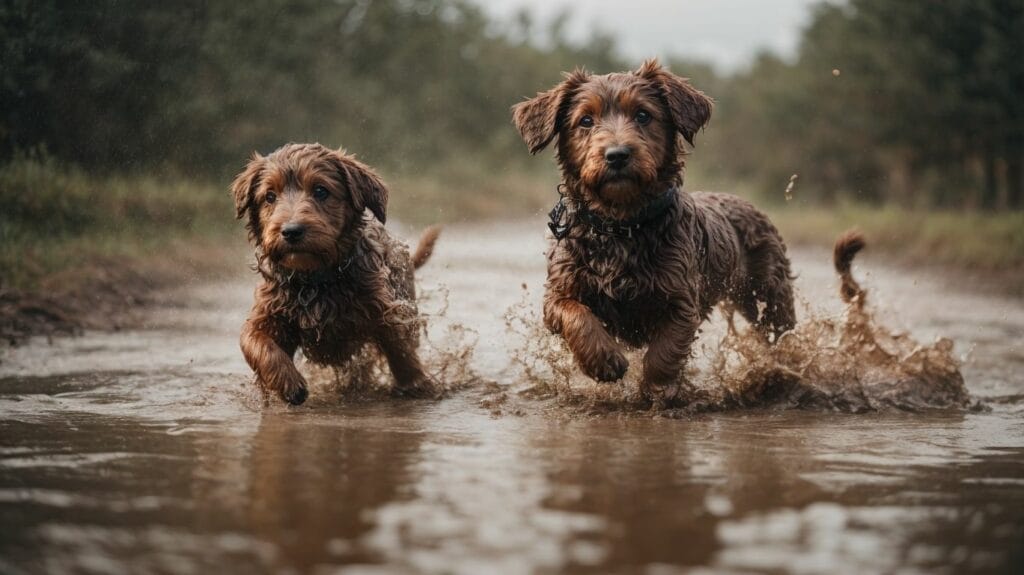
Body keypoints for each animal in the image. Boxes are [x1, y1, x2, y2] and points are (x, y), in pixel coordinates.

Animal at [232, 142, 440, 403]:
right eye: (269, 196)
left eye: (321, 191)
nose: (291, 231)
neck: (314, 278)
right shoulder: (270, 310)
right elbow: (255, 341)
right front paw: (288, 384)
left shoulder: (381, 307)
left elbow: (399, 348)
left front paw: (415, 383)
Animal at [512, 58, 798, 399]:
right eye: (585, 120)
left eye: (643, 115)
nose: (617, 155)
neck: (619, 225)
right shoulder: (558, 292)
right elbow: (575, 315)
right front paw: (604, 360)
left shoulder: (680, 298)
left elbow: (667, 349)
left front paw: (657, 388)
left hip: (769, 296)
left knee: (781, 333)